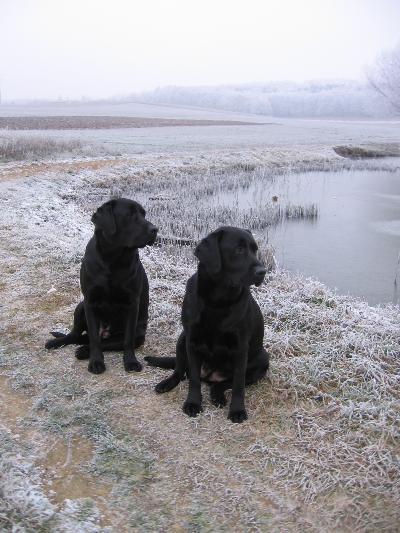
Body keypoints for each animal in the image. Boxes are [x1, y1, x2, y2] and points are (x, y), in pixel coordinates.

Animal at [45, 198, 158, 374]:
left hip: (138, 336)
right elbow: (94, 338)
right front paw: (96, 362)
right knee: (76, 335)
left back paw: (83, 350)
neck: (113, 259)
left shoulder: (132, 304)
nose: (155, 229)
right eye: (129, 214)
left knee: (106, 341)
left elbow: (127, 340)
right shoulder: (90, 301)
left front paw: (131, 361)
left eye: (143, 214)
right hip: (80, 306)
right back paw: (56, 343)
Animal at [145, 226, 269, 423]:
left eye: (255, 250)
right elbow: (194, 380)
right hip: (182, 339)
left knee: (225, 383)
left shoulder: (241, 348)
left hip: (263, 358)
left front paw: (237, 410)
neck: (218, 302)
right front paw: (193, 403)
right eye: (239, 249)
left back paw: (218, 395)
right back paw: (167, 383)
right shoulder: (192, 341)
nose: (263, 271)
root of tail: (211, 376)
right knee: (180, 371)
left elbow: (238, 384)